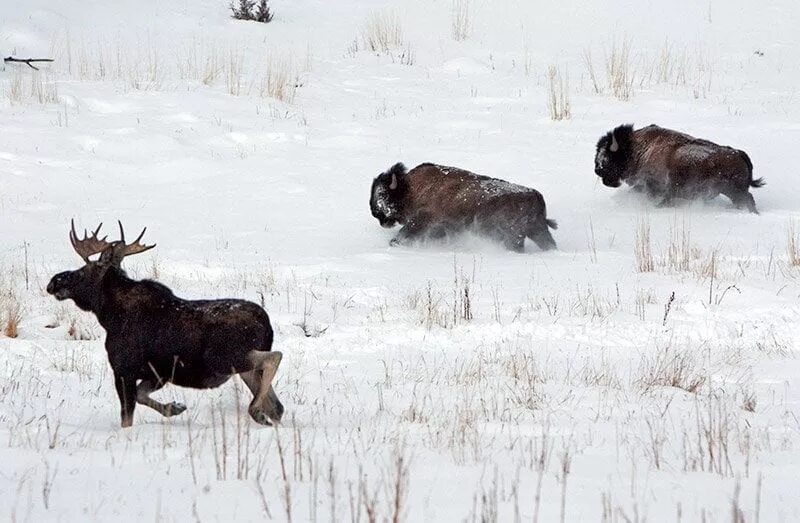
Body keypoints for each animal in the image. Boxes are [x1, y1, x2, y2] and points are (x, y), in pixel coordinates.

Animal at [46, 221, 284, 430]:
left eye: (82, 271)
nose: (53, 282)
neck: (109, 316)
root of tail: (266, 323)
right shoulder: (157, 374)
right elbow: (142, 396)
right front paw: (175, 407)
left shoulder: (124, 369)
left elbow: (127, 417)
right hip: (241, 367)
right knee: (277, 406)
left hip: (224, 358)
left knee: (275, 358)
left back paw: (255, 411)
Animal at [368, 164, 556, 254]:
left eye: (382, 193)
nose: (375, 213)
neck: (409, 188)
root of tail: (535, 196)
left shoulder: (423, 222)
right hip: (538, 232)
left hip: (514, 237)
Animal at [592, 124, 764, 213]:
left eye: (607, 156)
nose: (597, 169)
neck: (636, 149)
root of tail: (738, 153)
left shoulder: (652, 186)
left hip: (734, 191)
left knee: (748, 199)